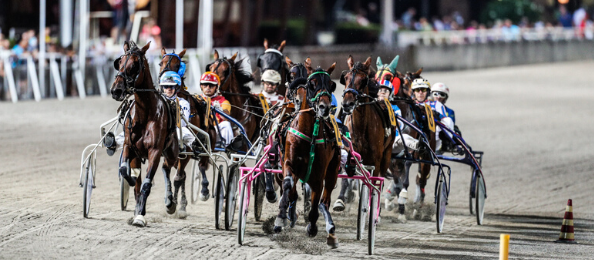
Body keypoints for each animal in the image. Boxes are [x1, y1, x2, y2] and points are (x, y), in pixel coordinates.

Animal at [110, 41, 177, 228]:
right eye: (119, 62)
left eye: (134, 65)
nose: (116, 90)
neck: (145, 112)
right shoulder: (129, 146)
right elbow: (126, 172)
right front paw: (131, 181)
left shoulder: (155, 151)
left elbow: (147, 183)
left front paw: (140, 215)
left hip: (172, 153)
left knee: (169, 168)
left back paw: (170, 202)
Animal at [157, 47, 215, 216]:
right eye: (160, 63)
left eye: (177, 65)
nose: (167, 80)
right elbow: (175, 175)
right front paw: (172, 201)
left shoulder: (187, 150)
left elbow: (178, 177)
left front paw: (175, 203)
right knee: (182, 174)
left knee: (202, 164)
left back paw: (203, 190)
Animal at [276, 61, 340, 248]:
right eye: (312, 83)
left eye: (331, 84)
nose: (325, 107)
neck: (308, 133)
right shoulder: (288, 162)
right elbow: (288, 185)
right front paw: (281, 218)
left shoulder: (318, 174)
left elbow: (315, 201)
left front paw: (312, 226)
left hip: (333, 169)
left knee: (325, 201)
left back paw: (330, 229)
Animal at [330, 56, 396, 211]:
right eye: (345, 78)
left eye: (363, 80)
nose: (347, 103)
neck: (362, 128)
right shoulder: (350, 152)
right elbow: (348, 176)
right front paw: (340, 200)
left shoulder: (376, 159)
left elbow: (374, 182)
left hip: (386, 154)